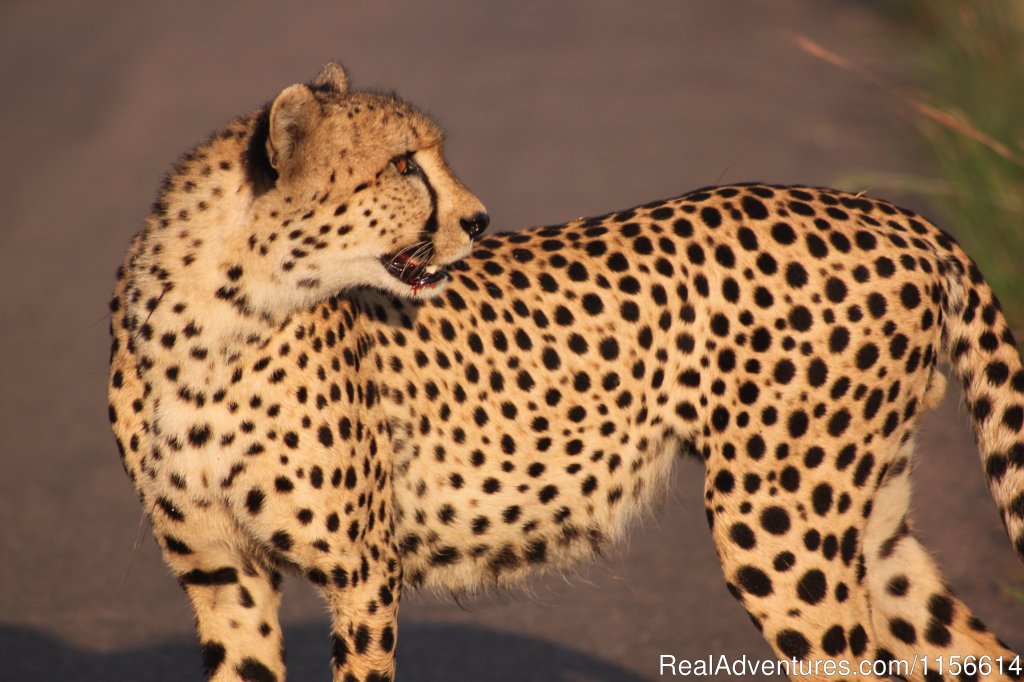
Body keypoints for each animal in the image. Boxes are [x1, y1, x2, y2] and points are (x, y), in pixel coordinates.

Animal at [110, 61, 1024, 675]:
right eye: (404, 165)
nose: (480, 221)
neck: (215, 316)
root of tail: (894, 215)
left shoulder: (362, 573)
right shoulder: (224, 577)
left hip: (779, 520)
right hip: (866, 517)